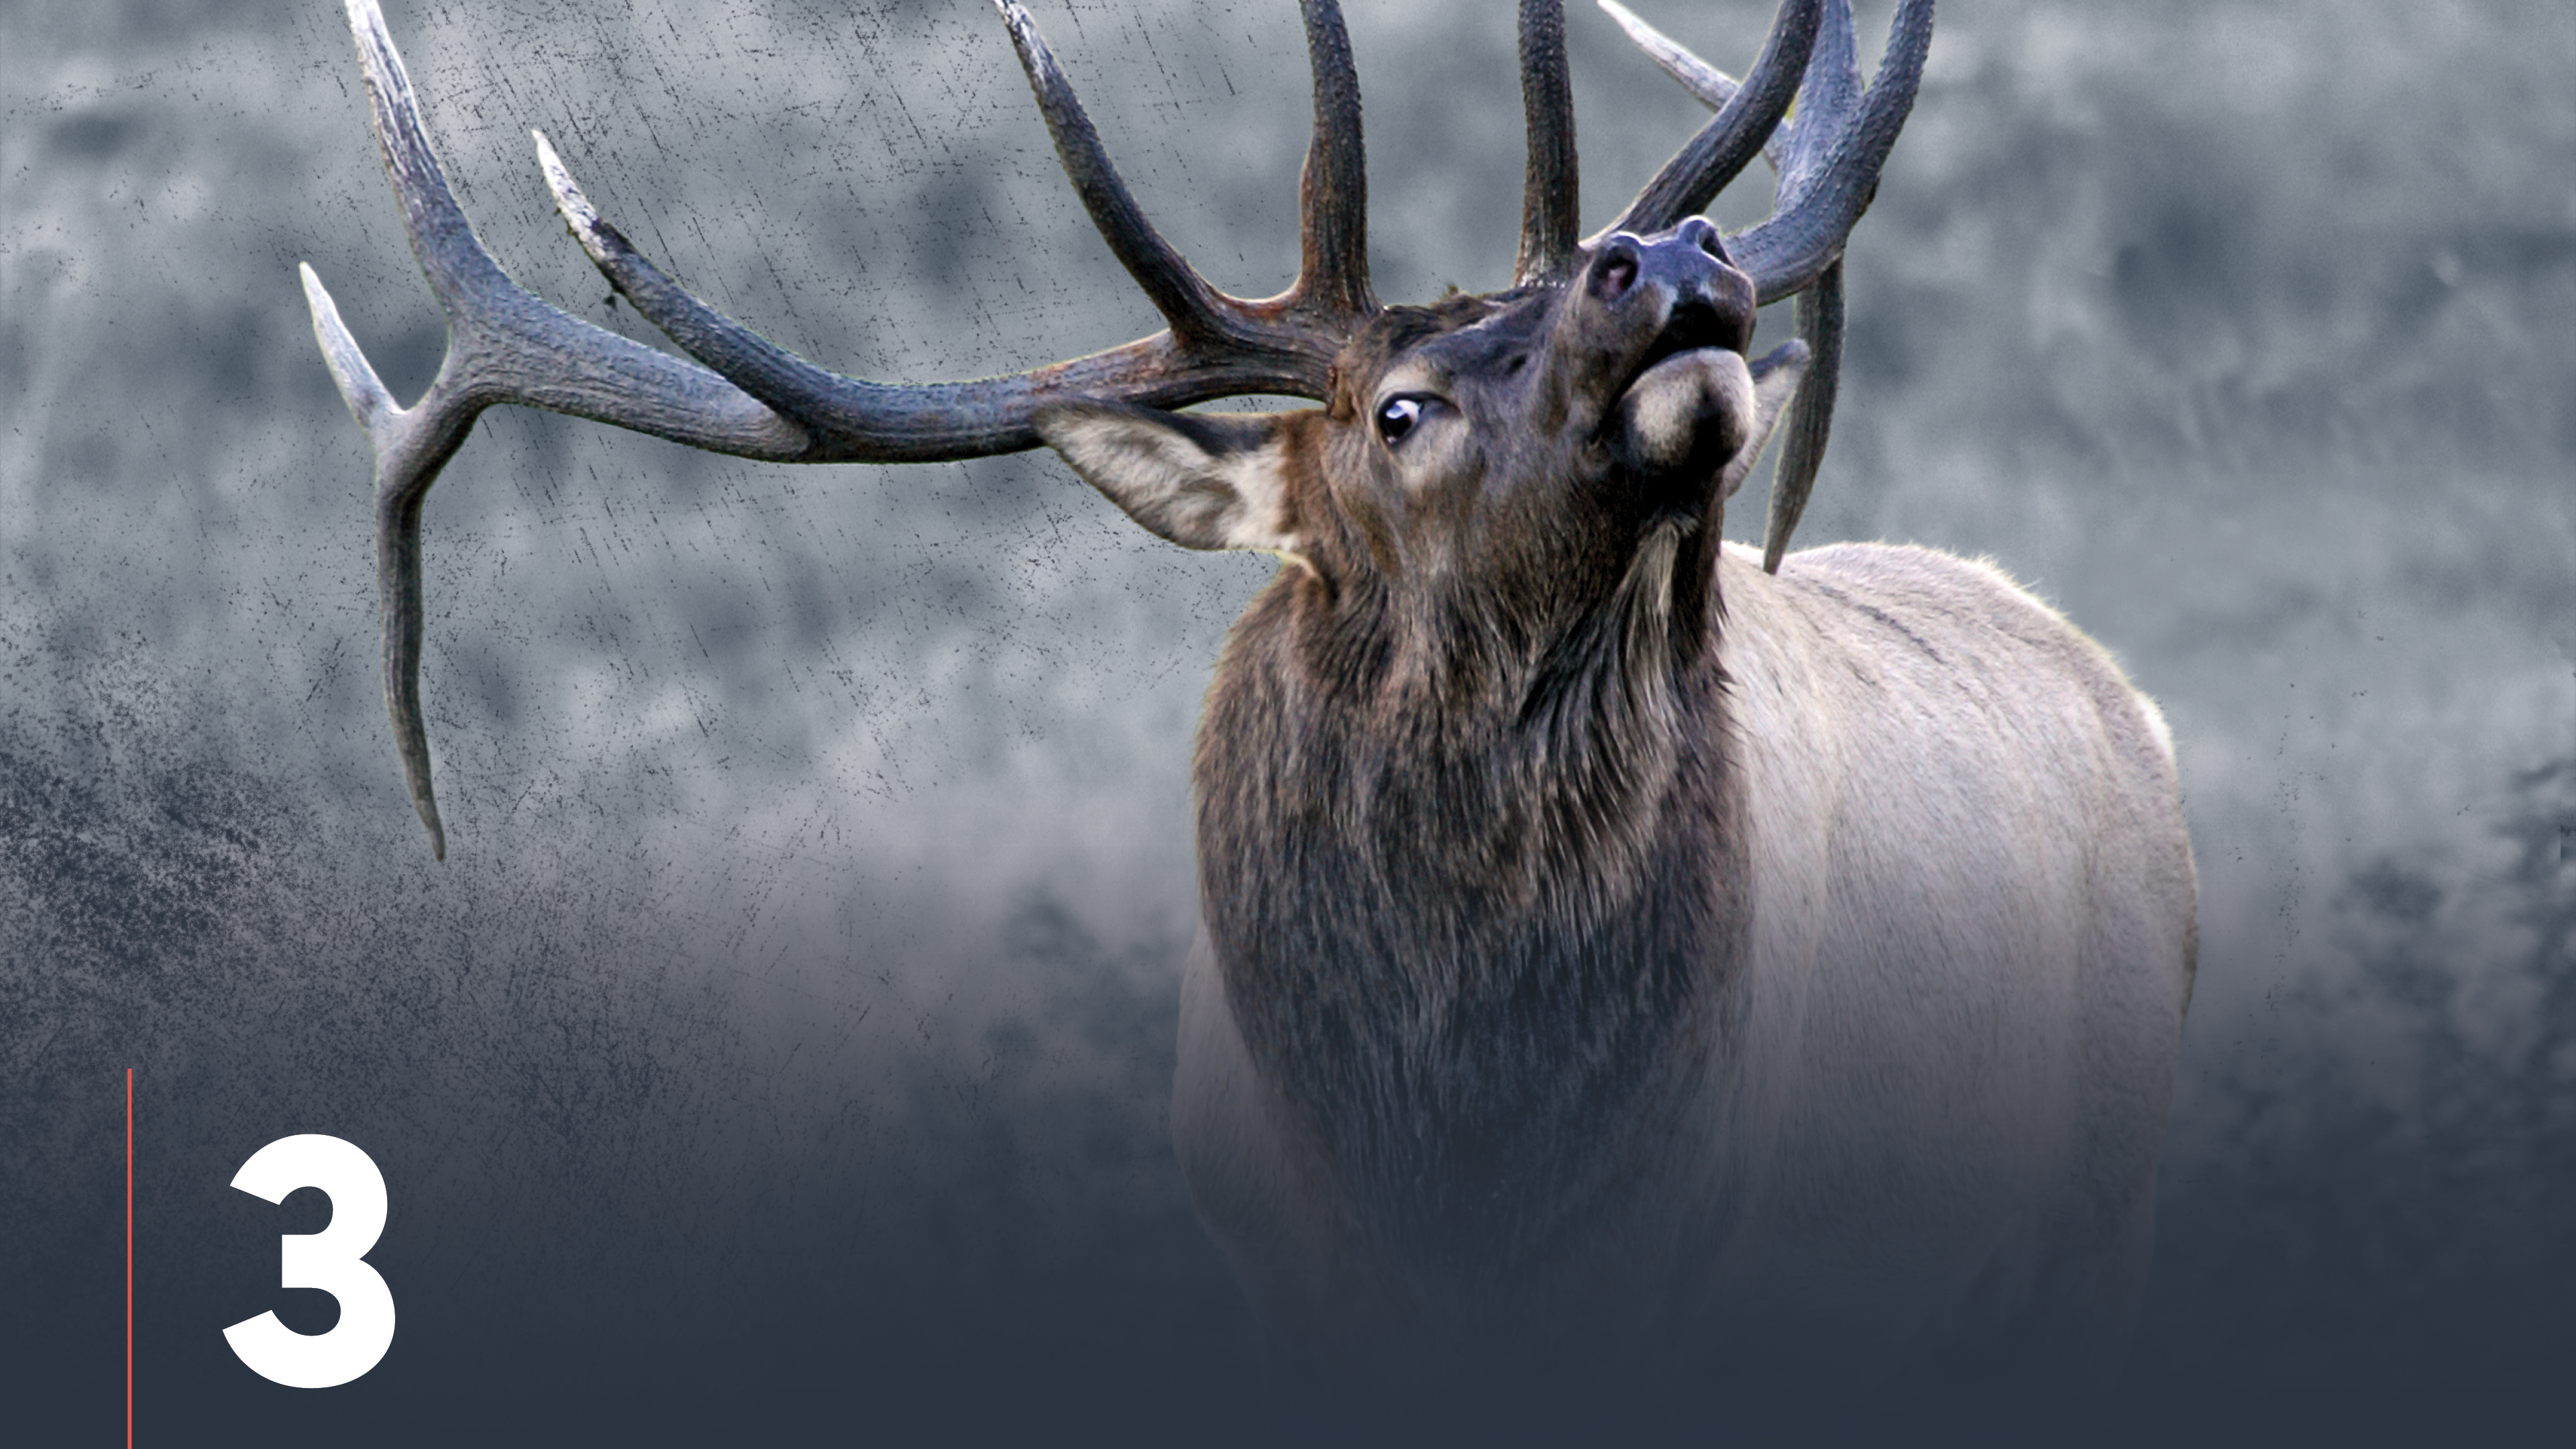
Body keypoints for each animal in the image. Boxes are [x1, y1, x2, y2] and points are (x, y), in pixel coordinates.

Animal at [303, 0, 2197, 1429]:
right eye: (1401, 408)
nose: (1661, 250)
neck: (1457, 1155)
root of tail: (2115, 693)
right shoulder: (1294, 1286)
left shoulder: (1702, 1264)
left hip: (2088, 1228)